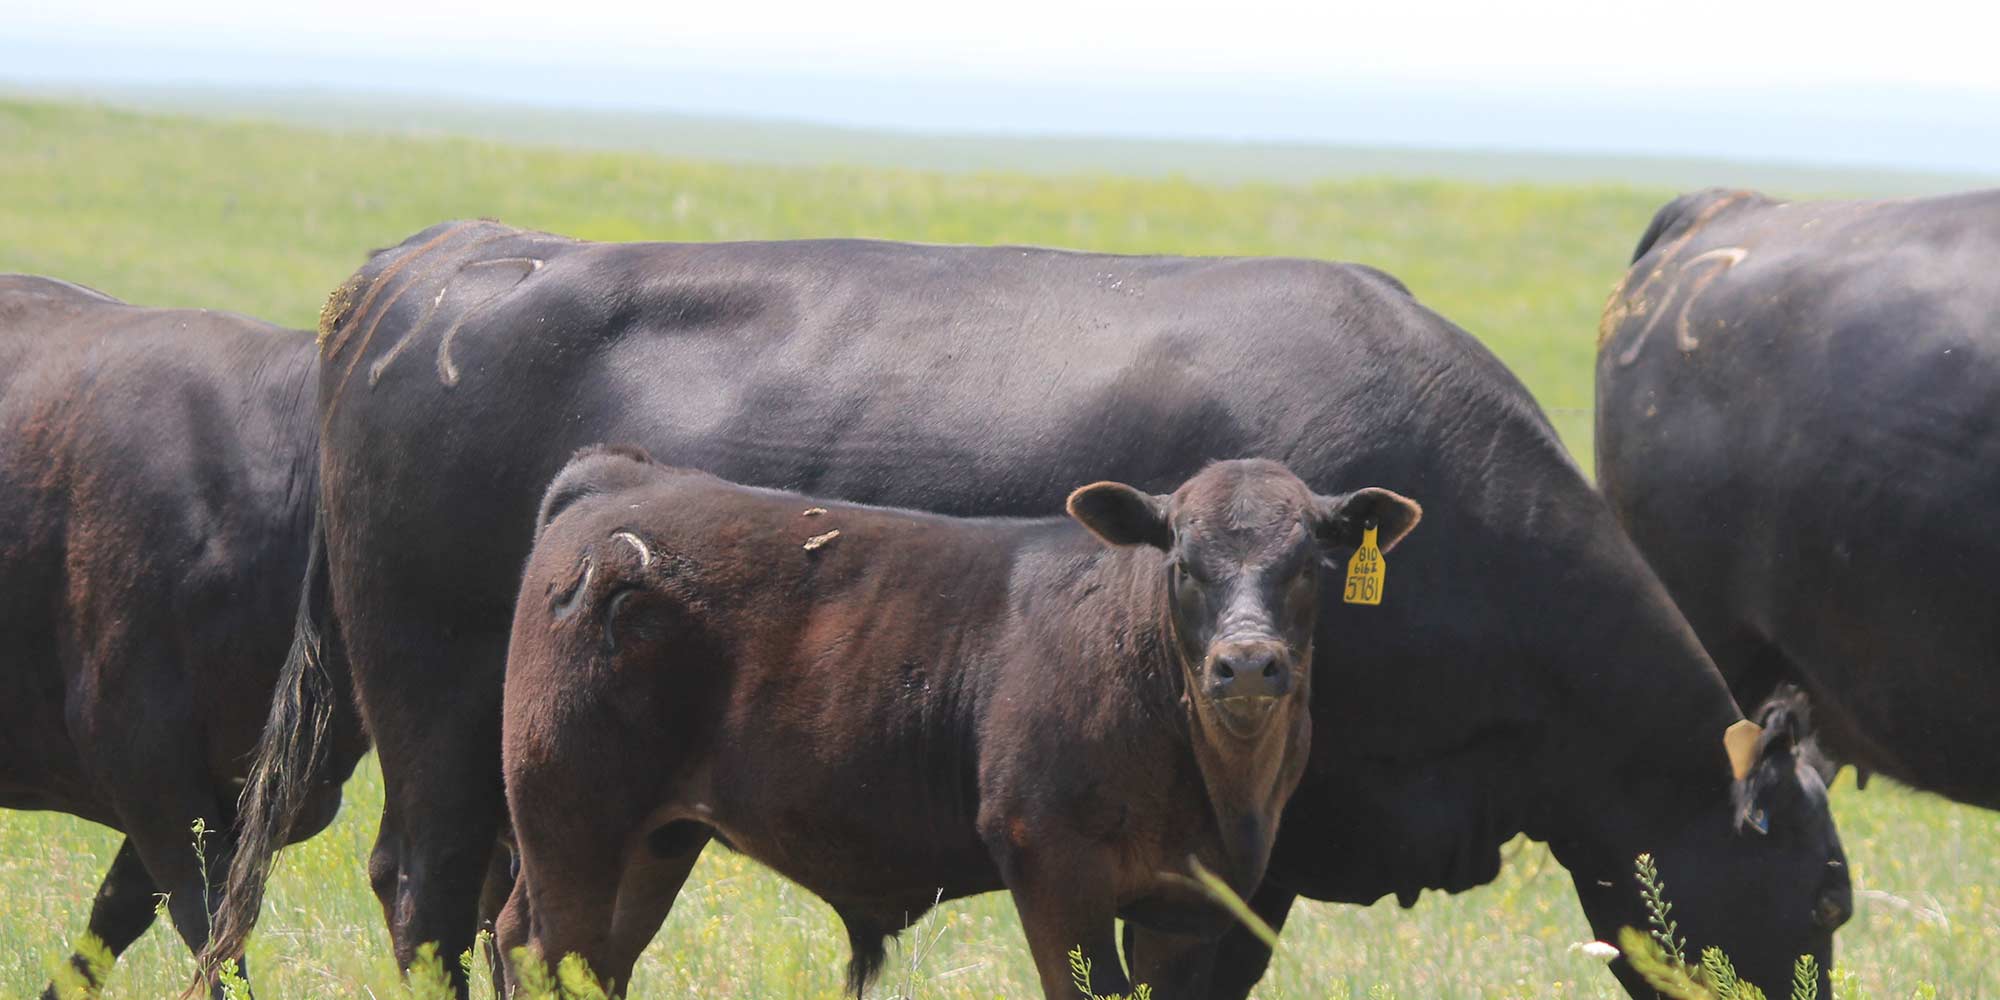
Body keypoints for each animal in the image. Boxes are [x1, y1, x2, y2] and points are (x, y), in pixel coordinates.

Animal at [496, 449, 1421, 997]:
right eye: (1184, 564)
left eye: (1308, 564)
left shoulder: (1192, 902)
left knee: (574, 957)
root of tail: (622, 477)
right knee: (544, 955)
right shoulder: (1053, 864)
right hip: (569, 816)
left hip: (653, 839)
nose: (1248, 664)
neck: (1216, 784)